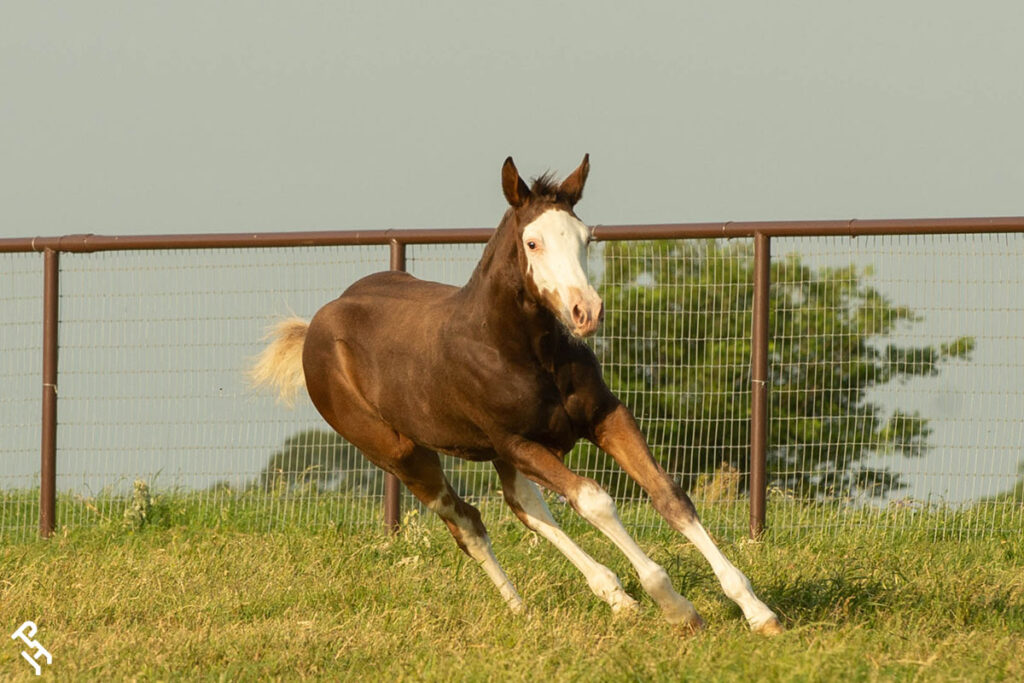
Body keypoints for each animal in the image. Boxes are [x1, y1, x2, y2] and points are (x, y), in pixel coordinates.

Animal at [249, 156, 783, 635]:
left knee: (524, 506)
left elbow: (668, 495)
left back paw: (612, 597)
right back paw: (524, 608)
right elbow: (594, 501)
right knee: (467, 522)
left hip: (497, 455)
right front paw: (675, 605)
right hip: (402, 454)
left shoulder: (605, 417)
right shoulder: (517, 442)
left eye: (586, 238)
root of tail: (315, 326)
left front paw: (756, 611)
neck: (520, 348)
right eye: (533, 241)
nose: (586, 311)